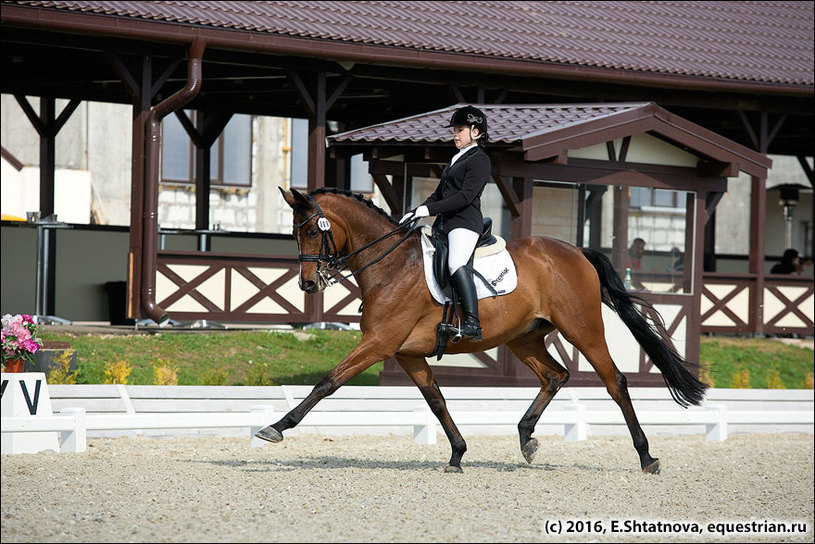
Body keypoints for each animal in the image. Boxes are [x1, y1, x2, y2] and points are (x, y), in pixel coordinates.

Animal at [258, 186, 712, 472]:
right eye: (293, 232)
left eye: (311, 230)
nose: (308, 284)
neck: (392, 265)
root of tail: (576, 251)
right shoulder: (407, 353)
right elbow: (436, 401)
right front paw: (457, 455)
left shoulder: (380, 344)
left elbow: (328, 382)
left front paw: (275, 428)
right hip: (524, 337)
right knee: (555, 375)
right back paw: (526, 438)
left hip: (583, 331)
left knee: (615, 382)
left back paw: (647, 457)